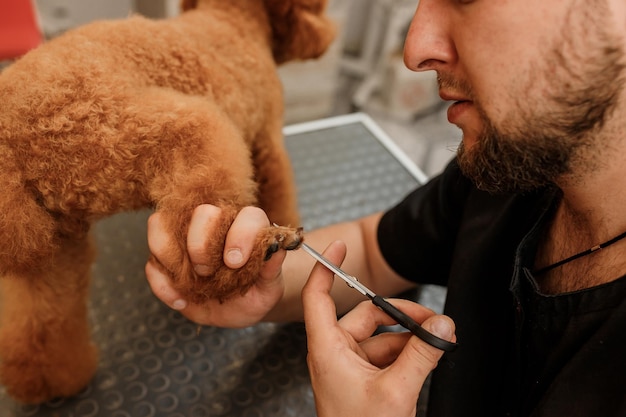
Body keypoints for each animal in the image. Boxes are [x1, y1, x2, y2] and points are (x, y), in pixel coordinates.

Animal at [0, 0, 336, 404]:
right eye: (317, 9)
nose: (329, 35)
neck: (236, 20)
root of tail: (10, 144)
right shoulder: (266, 139)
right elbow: (278, 190)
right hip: (158, 129)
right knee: (200, 266)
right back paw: (265, 244)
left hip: (52, 245)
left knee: (40, 321)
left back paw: (49, 381)